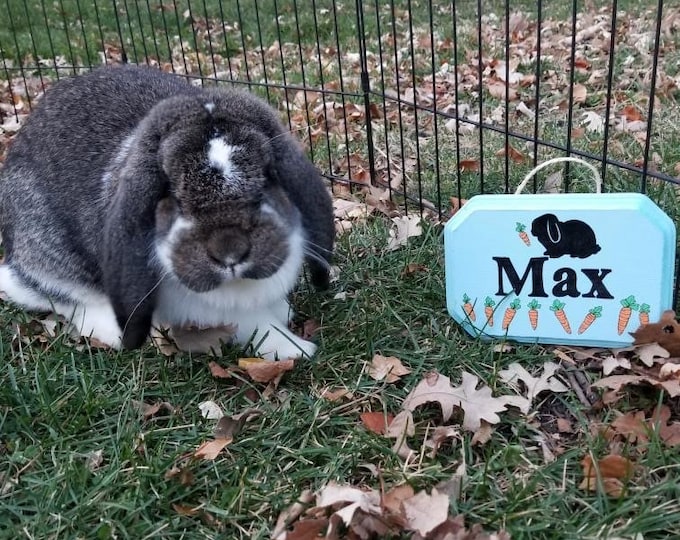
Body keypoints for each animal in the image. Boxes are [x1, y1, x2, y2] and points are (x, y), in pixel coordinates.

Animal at [0, 64, 334, 360]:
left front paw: (284, 313)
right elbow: (253, 323)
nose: (230, 252)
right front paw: (296, 349)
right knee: (68, 298)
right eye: (171, 193)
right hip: (54, 254)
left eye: (267, 177)